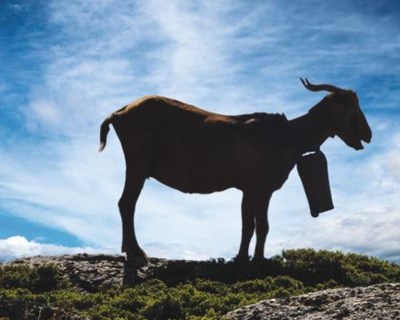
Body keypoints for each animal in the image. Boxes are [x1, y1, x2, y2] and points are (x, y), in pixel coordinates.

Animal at [99, 78, 372, 264]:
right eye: (352, 107)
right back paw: (136, 253)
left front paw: (259, 259)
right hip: (137, 164)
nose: (368, 135)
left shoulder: (262, 191)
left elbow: (262, 226)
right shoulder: (251, 188)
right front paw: (241, 259)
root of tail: (118, 114)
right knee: (126, 203)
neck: (290, 136)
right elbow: (248, 226)